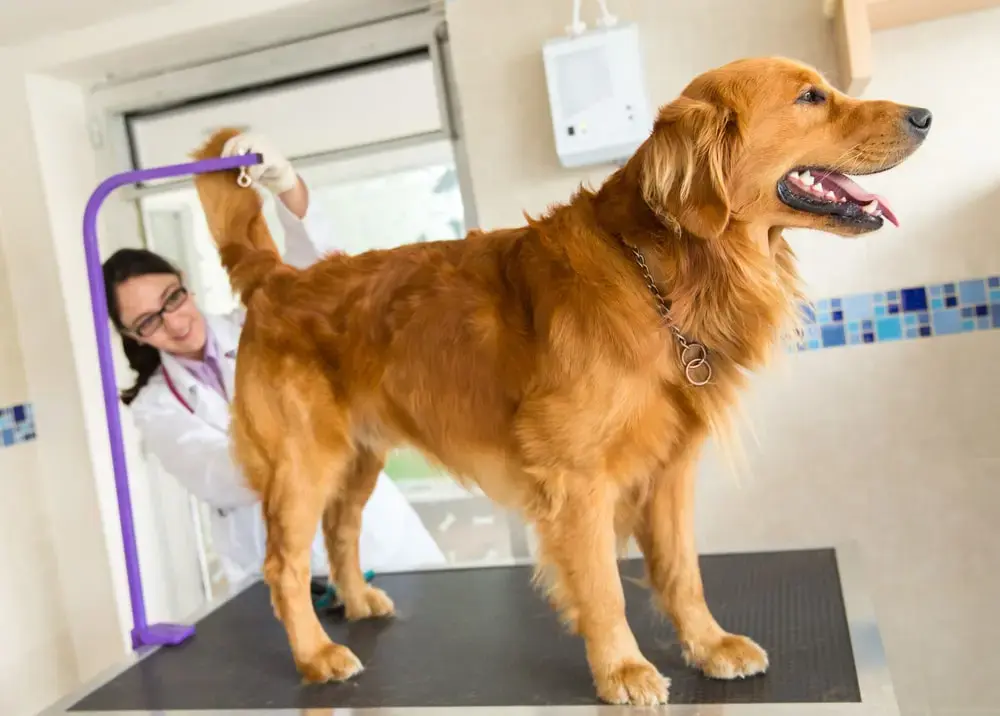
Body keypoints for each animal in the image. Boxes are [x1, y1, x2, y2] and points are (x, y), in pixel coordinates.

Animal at [189, 57, 928, 704]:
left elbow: (683, 571)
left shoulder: (670, 469)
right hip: (302, 460)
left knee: (341, 531)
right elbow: (602, 585)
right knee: (284, 566)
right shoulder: (576, 477)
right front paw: (623, 668)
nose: (925, 115)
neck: (660, 278)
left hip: (357, 456)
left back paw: (357, 600)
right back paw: (315, 652)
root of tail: (279, 280)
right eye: (810, 97)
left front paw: (708, 644)